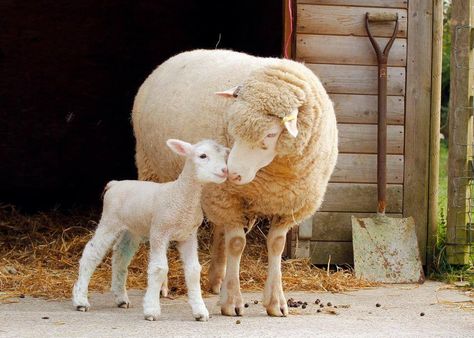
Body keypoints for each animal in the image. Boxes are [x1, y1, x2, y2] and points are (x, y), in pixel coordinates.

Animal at [72, 139, 230, 320]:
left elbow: (193, 271)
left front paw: (200, 311)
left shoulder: (188, 235)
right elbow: (159, 268)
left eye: (224, 156)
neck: (181, 195)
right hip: (109, 221)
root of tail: (115, 184)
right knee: (91, 253)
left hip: (132, 230)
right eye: (202, 156)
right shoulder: (159, 231)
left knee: (120, 256)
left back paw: (121, 298)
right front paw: (151, 310)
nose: (225, 170)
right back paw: (80, 300)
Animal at [131, 49, 336, 316]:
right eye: (232, 127)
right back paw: (164, 286)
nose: (233, 173)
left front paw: (276, 302)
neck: (276, 173)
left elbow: (276, 245)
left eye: (271, 134)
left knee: (221, 232)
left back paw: (217, 279)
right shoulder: (228, 197)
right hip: (153, 169)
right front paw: (233, 302)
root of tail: (179, 56)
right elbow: (237, 244)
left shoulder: (288, 205)